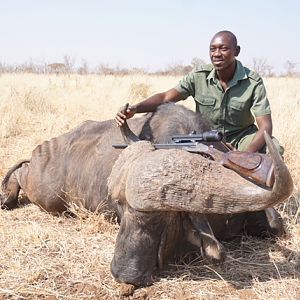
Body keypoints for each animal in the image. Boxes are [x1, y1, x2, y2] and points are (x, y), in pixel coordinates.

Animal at [0, 103, 294, 286]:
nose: (124, 274)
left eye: (157, 219)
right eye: (119, 209)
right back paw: (7, 197)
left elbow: (276, 225)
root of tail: (44, 148)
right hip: (46, 192)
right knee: (21, 171)